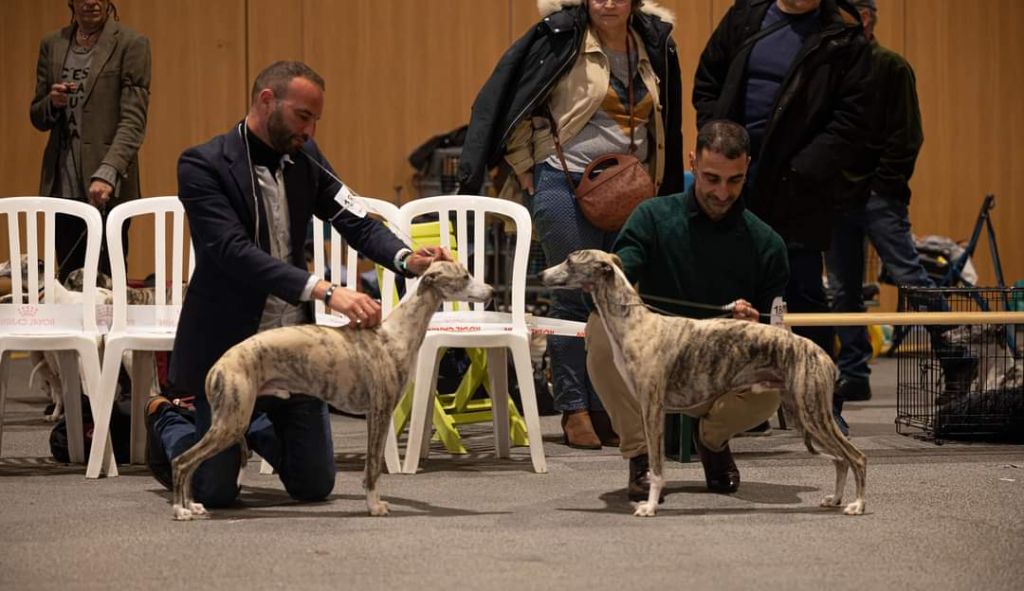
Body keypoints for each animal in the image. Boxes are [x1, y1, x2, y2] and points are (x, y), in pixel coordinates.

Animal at [172, 260, 491, 518]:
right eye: (465, 276)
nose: (491, 292)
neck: (394, 335)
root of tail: (218, 365)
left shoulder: (377, 413)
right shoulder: (379, 412)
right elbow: (373, 466)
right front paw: (374, 506)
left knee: (190, 463)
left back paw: (193, 506)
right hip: (232, 420)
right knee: (182, 461)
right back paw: (180, 510)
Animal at [540, 248, 868, 516]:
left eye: (569, 260)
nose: (541, 275)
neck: (635, 324)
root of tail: (823, 354)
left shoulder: (653, 407)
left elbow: (658, 467)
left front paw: (649, 506)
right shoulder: (646, 407)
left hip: (812, 413)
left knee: (856, 457)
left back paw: (857, 504)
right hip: (801, 412)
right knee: (840, 459)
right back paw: (835, 499)